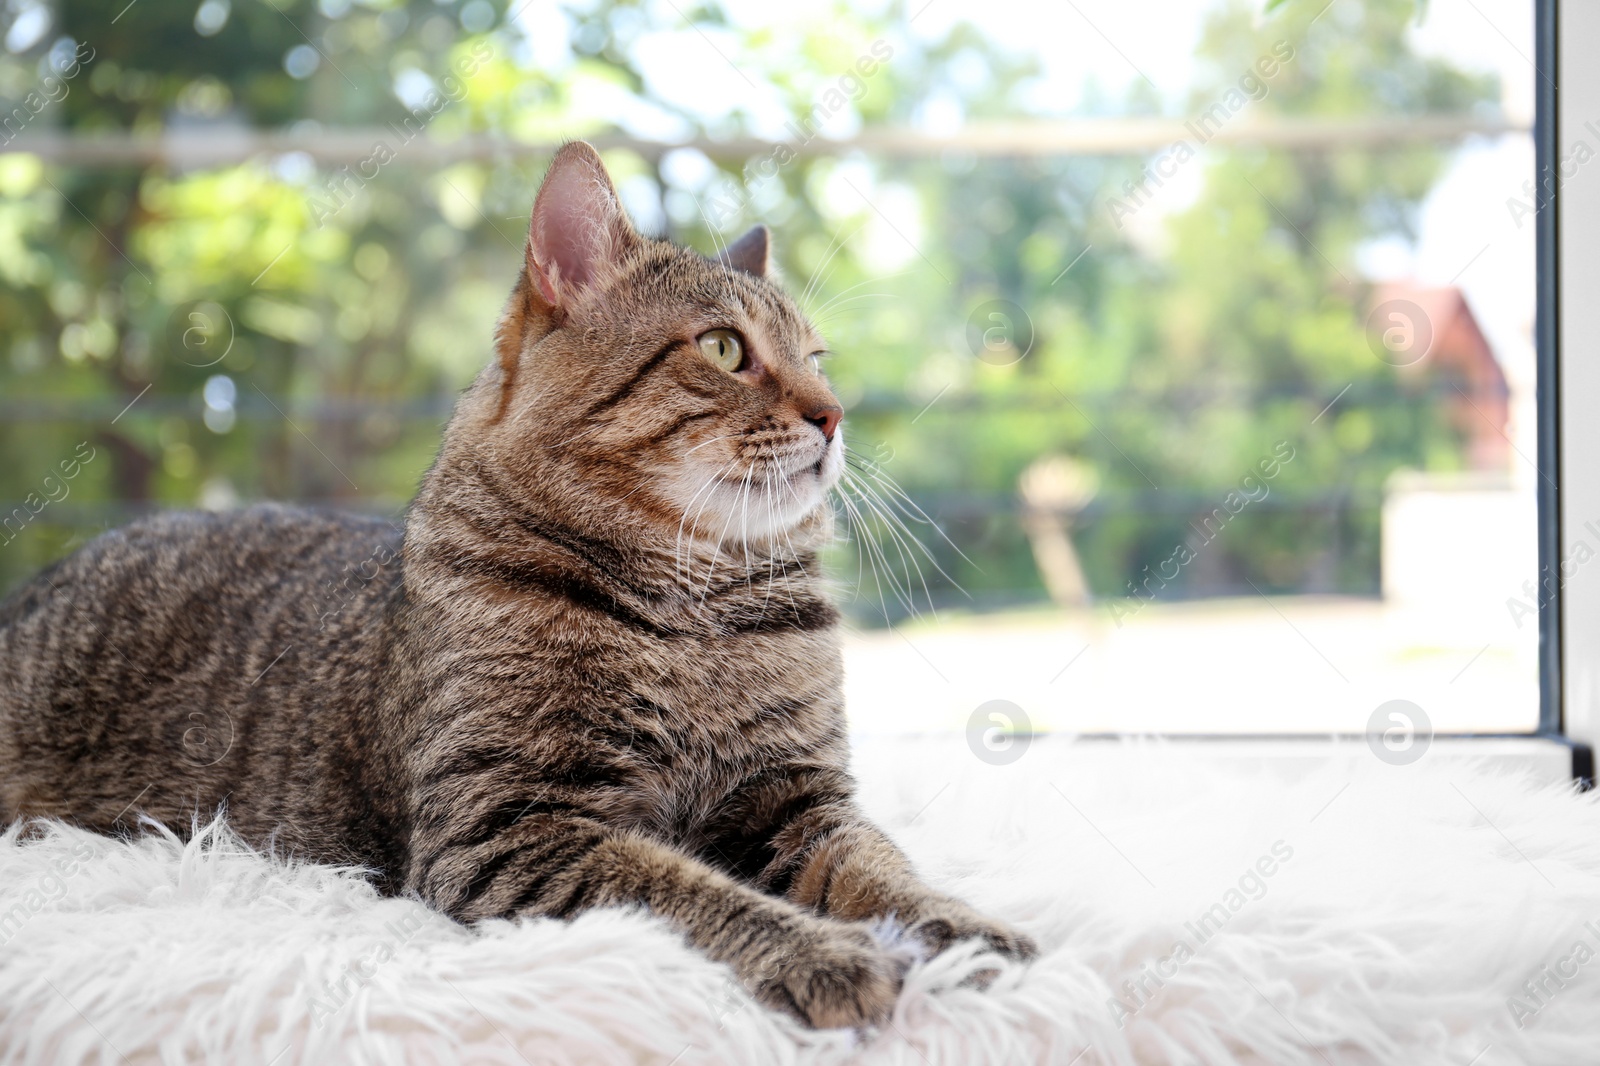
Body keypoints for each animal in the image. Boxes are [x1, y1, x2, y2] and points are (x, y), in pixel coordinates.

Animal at [0, 139, 1036, 1024]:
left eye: (817, 359)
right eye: (724, 349)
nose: (835, 414)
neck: (693, 600)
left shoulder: (797, 797)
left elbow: (880, 868)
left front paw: (962, 930)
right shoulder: (513, 825)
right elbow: (691, 895)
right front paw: (824, 953)